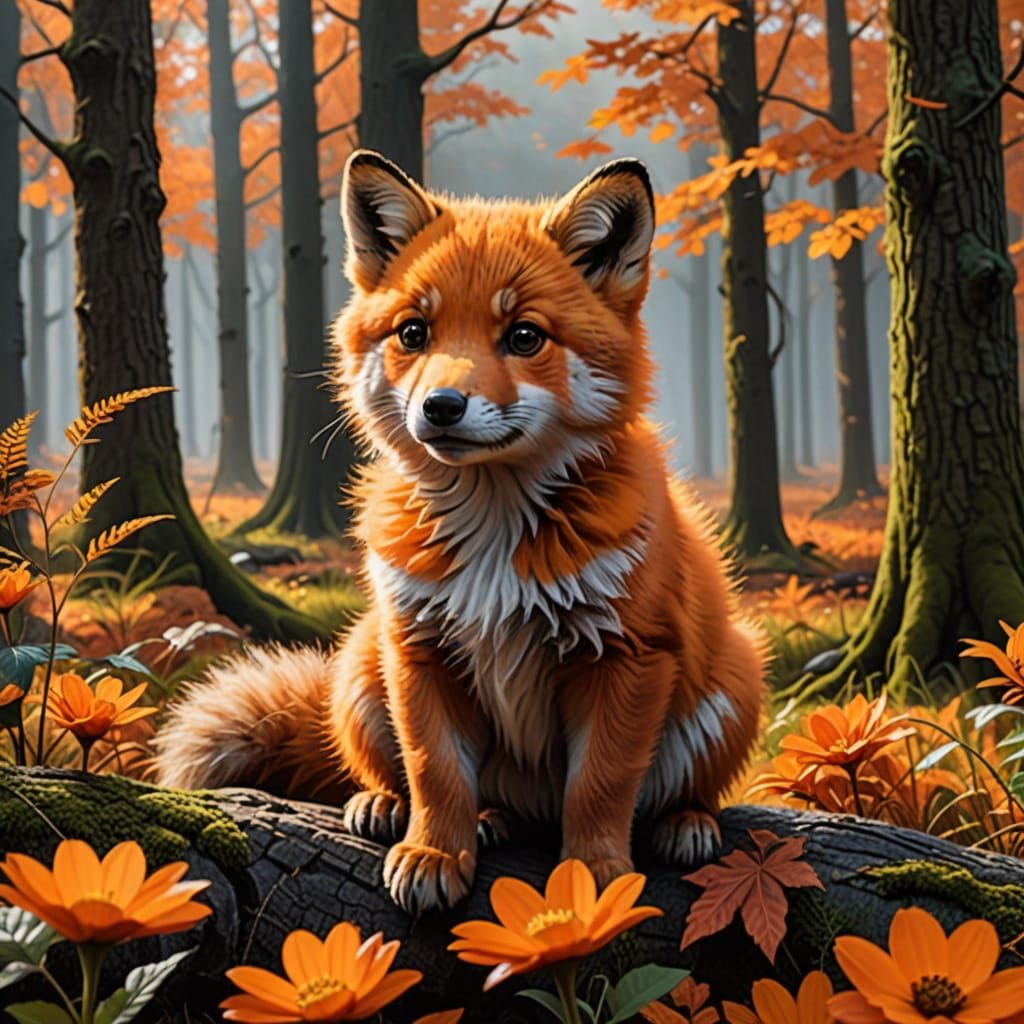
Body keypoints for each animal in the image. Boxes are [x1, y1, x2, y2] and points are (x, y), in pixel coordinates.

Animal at [153, 149, 765, 914]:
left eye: (524, 336)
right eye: (415, 333)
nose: (441, 407)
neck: (495, 539)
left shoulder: (627, 655)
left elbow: (601, 785)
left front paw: (593, 874)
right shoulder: (420, 646)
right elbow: (435, 772)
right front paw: (436, 852)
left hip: (735, 678)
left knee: (679, 790)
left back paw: (685, 822)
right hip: (362, 664)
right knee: (420, 779)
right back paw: (403, 808)